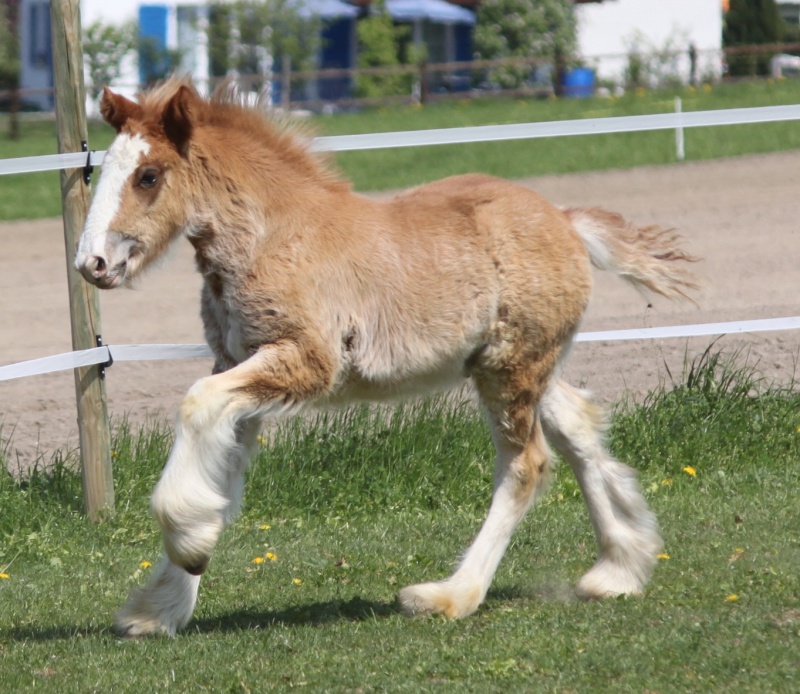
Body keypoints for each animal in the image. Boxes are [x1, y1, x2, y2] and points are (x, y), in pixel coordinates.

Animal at [76, 79, 700, 640]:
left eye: (148, 176)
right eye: (104, 170)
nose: (92, 264)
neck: (272, 236)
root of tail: (566, 220)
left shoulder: (305, 361)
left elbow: (195, 407)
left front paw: (189, 544)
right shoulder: (238, 364)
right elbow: (220, 474)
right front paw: (162, 606)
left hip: (510, 369)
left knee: (528, 464)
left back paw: (450, 595)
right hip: (519, 365)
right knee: (578, 429)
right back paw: (619, 569)